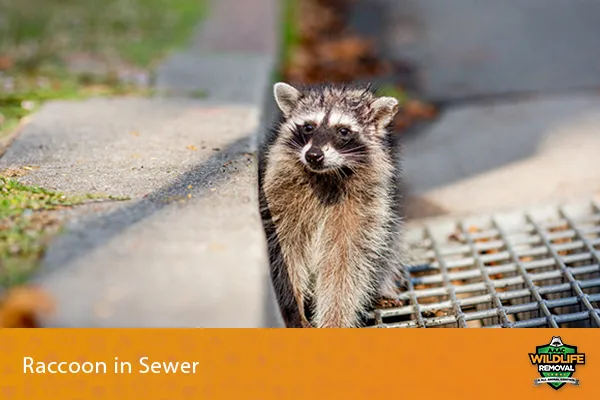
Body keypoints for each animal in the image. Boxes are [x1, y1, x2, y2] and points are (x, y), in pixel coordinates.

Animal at [258, 81, 408, 328]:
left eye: (343, 130)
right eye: (309, 127)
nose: (313, 155)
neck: (326, 176)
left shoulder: (363, 213)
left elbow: (344, 268)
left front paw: (334, 319)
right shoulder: (279, 203)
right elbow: (286, 258)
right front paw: (293, 308)